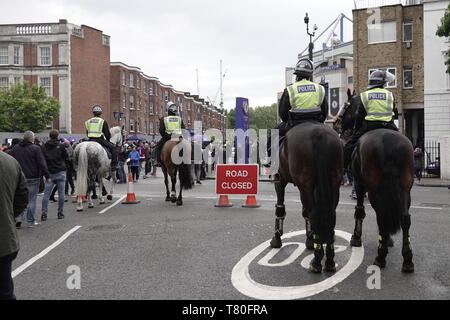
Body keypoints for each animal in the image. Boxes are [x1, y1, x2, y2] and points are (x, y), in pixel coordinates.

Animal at [270, 121, 342, 274]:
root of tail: (319, 134)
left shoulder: (280, 181)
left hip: (305, 184)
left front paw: (277, 238)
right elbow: (305, 213)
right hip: (333, 183)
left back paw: (316, 261)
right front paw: (310, 240)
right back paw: (329, 261)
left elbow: (280, 209)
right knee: (330, 215)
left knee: (314, 214)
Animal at [344, 95, 414, 272]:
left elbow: (359, 211)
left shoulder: (359, 183)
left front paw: (356, 237)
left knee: (381, 216)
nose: (337, 124)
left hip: (373, 189)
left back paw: (380, 257)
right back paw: (407, 259)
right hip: (405, 188)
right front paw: (387, 239)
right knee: (404, 218)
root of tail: (388, 139)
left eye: (346, 106)